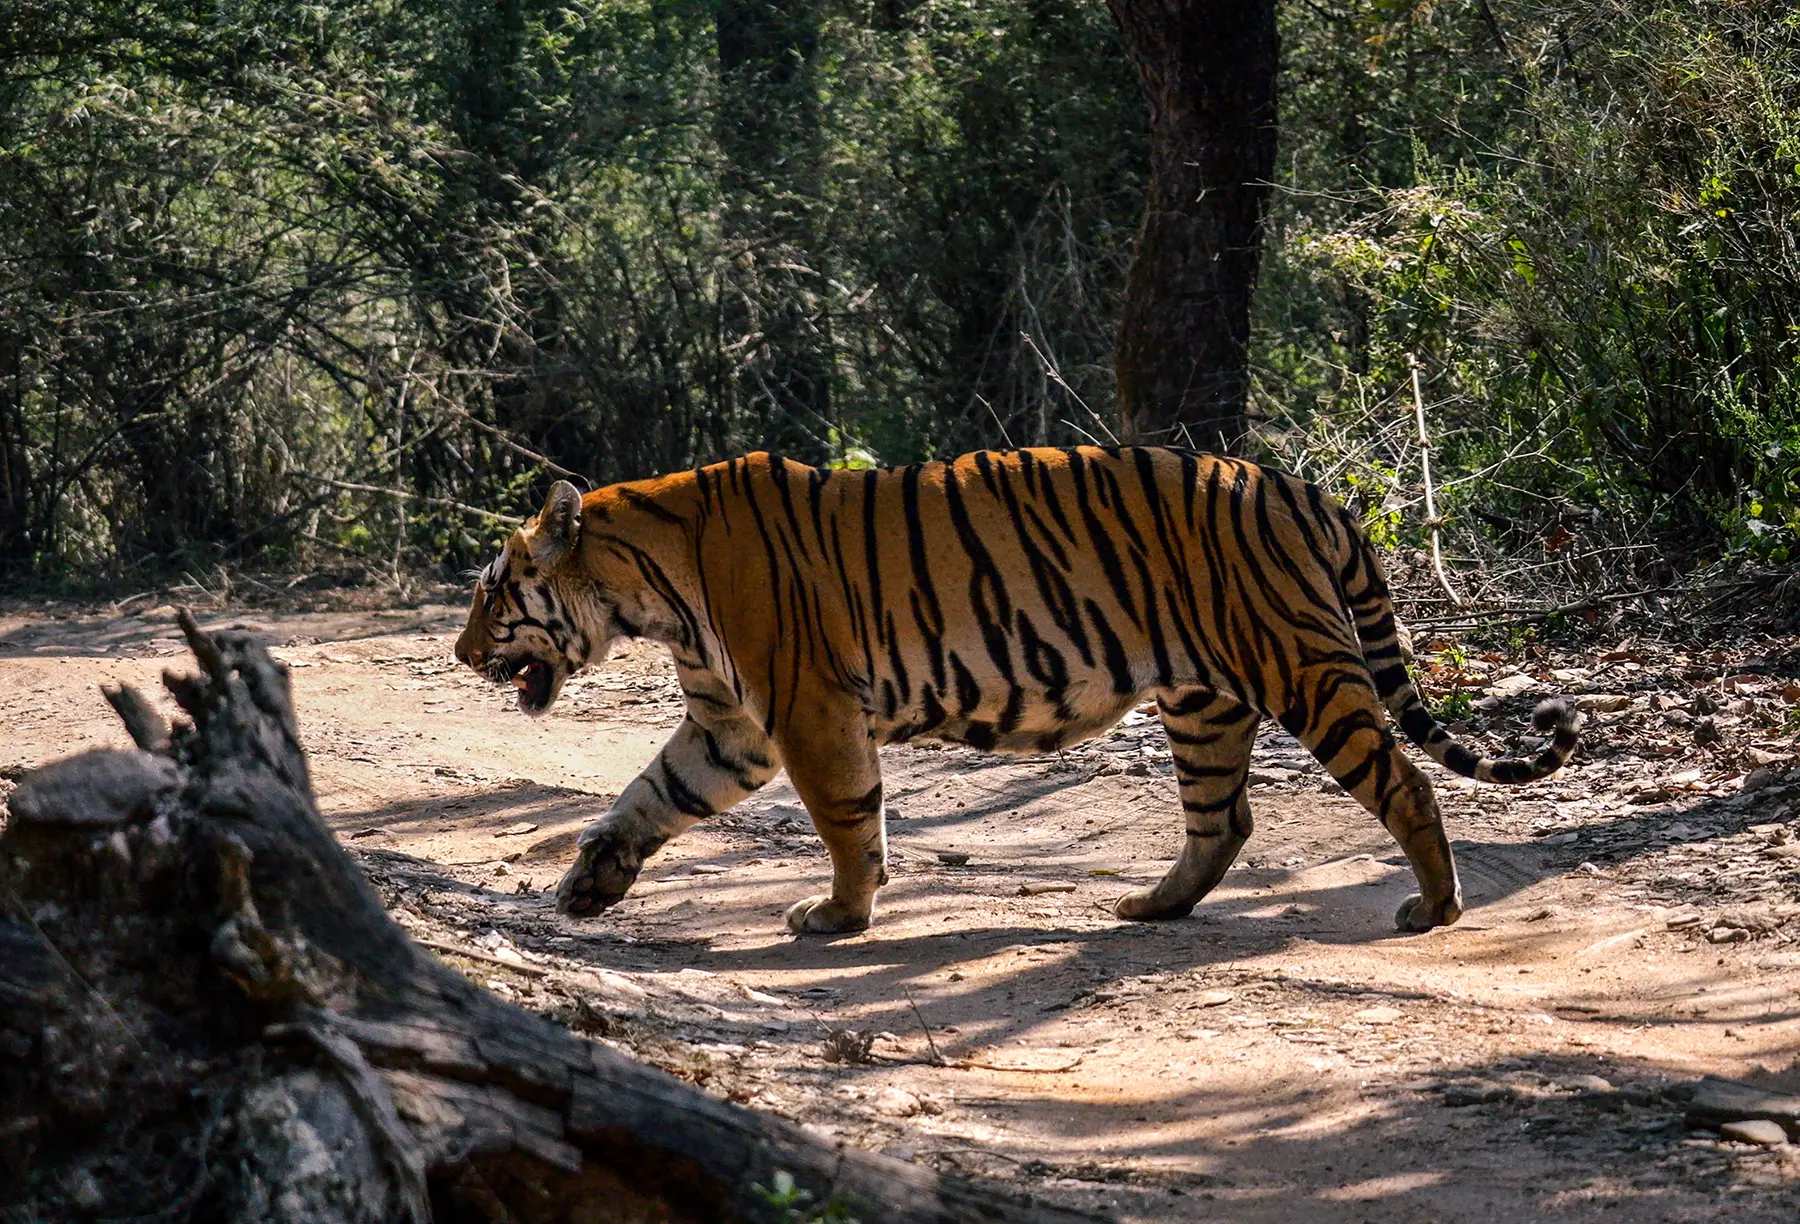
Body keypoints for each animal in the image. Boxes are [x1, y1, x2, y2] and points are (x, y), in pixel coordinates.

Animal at [457, 450, 1584, 936]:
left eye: (491, 593)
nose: (463, 655)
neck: (647, 588)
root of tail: (1306, 490)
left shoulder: (806, 710)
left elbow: (846, 821)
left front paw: (840, 915)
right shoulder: (731, 724)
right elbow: (649, 797)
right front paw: (588, 883)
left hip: (1301, 669)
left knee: (1405, 783)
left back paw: (1434, 907)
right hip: (1203, 700)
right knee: (1224, 818)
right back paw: (1154, 905)